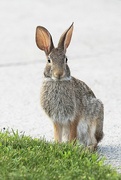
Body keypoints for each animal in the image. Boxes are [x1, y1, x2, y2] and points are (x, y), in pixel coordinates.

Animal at [35, 22, 104, 150]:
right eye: (49, 60)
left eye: (66, 59)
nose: (59, 73)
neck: (57, 82)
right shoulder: (56, 120)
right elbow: (57, 134)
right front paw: (58, 145)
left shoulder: (74, 117)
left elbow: (73, 133)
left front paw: (71, 147)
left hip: (93, 122)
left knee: (95, 142)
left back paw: (87, 149)